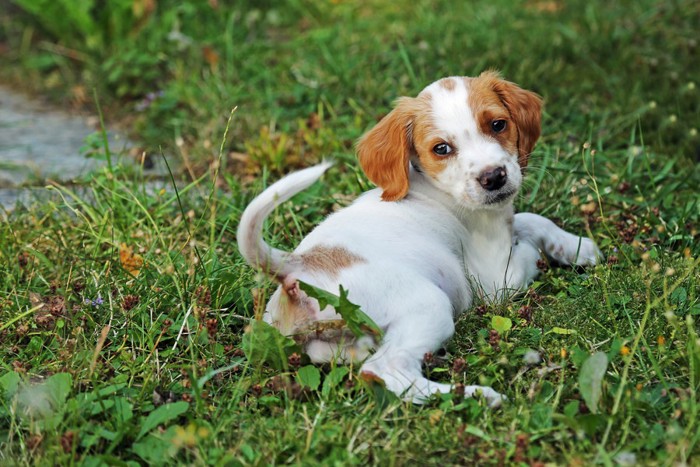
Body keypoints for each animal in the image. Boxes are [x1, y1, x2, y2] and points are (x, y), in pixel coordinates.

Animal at [238, 71, 600, 408]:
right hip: (429, 303)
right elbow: (527, 242)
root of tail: (295, 267)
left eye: (498, 125)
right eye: (441, 149)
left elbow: (530, 220)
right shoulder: (499, 279)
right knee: (385, 370)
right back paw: (473, 395)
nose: (494, 177)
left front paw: (577, 247)